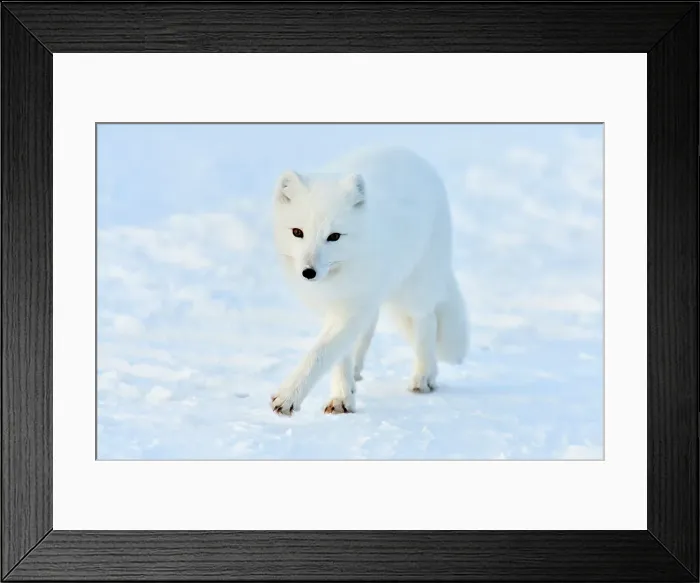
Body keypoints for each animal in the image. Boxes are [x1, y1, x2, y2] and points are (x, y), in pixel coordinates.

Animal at [270, 145, 469, 416]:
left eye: (334, 236)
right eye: (297, 232)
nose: (308, 273)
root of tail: (410, 154)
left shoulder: (351, 307)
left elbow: (321, 353)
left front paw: (289, 396)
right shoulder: (337, 308)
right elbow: (338, 354)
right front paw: (342, 397)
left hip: (415, 288)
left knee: (427, 321)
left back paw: (423, 376)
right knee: (371, 325)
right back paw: (356, 371)